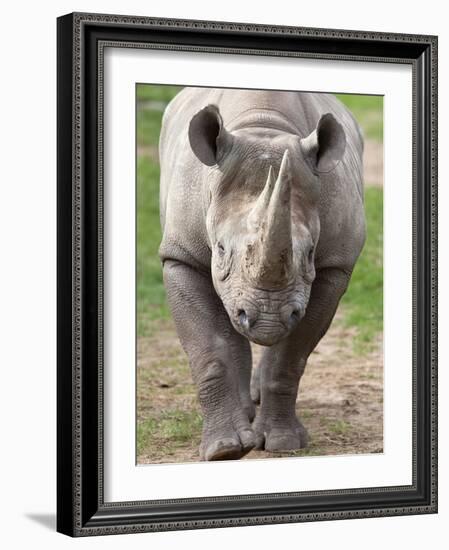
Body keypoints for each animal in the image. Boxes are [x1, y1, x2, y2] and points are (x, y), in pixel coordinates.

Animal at [158, 88, 364, 464]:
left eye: (309, 253)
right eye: (220, 248)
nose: (267, 319)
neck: (263, 128)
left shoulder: (335, 265)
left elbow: (290, 356)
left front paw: (282, 443)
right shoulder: (180, 256)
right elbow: (209, 350)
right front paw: (223, 450)